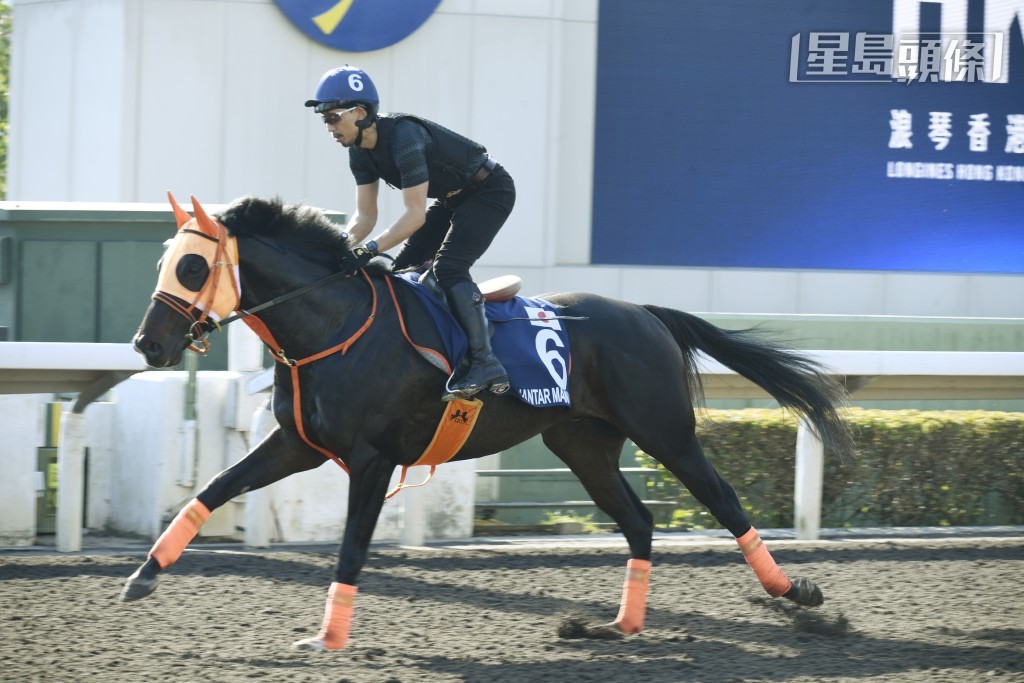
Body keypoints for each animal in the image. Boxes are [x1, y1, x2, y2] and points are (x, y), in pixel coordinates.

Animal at [122, 192, 855, 651]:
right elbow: (213, 488)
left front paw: (327, 636)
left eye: (193, 266)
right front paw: (144, 574)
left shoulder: (373, 458)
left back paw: (794, 591)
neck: (331, 326)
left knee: (724, 500)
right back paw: (616, 626)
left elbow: (353, 546)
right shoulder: (298, 444)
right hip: (582, 444)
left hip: (664, 431)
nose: (147, 345)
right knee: (640, 521)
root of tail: (647, 312)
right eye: (163, 262)